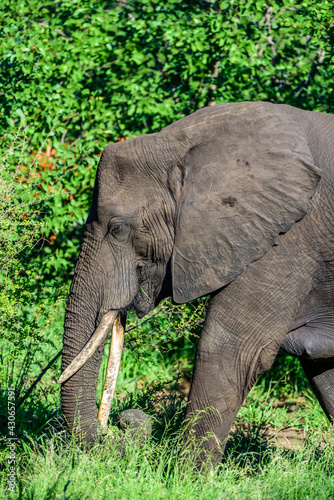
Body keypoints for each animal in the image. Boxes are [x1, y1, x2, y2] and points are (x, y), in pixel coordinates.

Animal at [60, 101, 334, 464]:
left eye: (116, 229)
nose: (124, 421)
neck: (182, 143)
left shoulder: (289, 237)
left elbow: (229, 348)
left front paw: (185, 476)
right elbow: (325, 369)